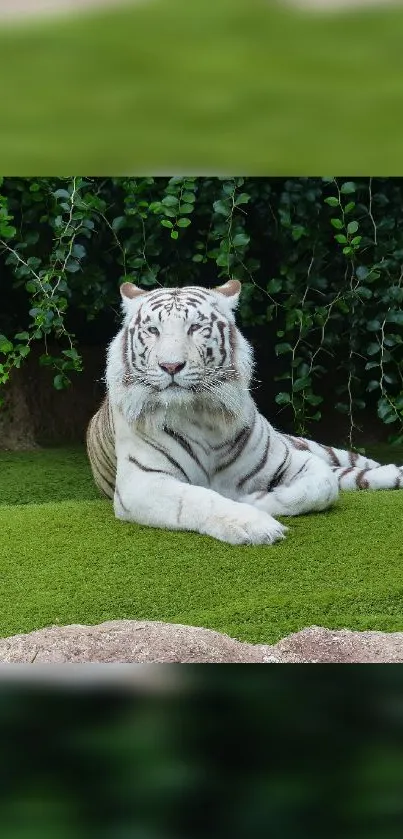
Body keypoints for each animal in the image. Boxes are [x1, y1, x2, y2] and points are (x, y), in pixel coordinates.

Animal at [87, 278, 402, 548]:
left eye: (195, 328)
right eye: (153, 330)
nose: (171, 366)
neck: (201, 414)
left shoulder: (293, 460)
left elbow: (322, 487)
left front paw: (256, 498)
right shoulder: (141, 483)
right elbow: (200, 499)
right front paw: (255, 523)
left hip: (310, 446)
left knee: (348, 467)